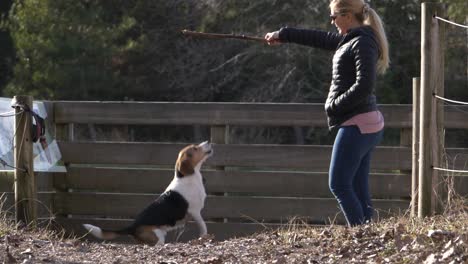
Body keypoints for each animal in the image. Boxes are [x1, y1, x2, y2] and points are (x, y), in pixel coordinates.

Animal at [83, 141, 214, 244]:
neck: (187, 177)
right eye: (195, 148)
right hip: (158, 235)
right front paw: (204, 238)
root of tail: (133, 226)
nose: (208, 141)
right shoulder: (195, 212)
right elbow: (204, 227)